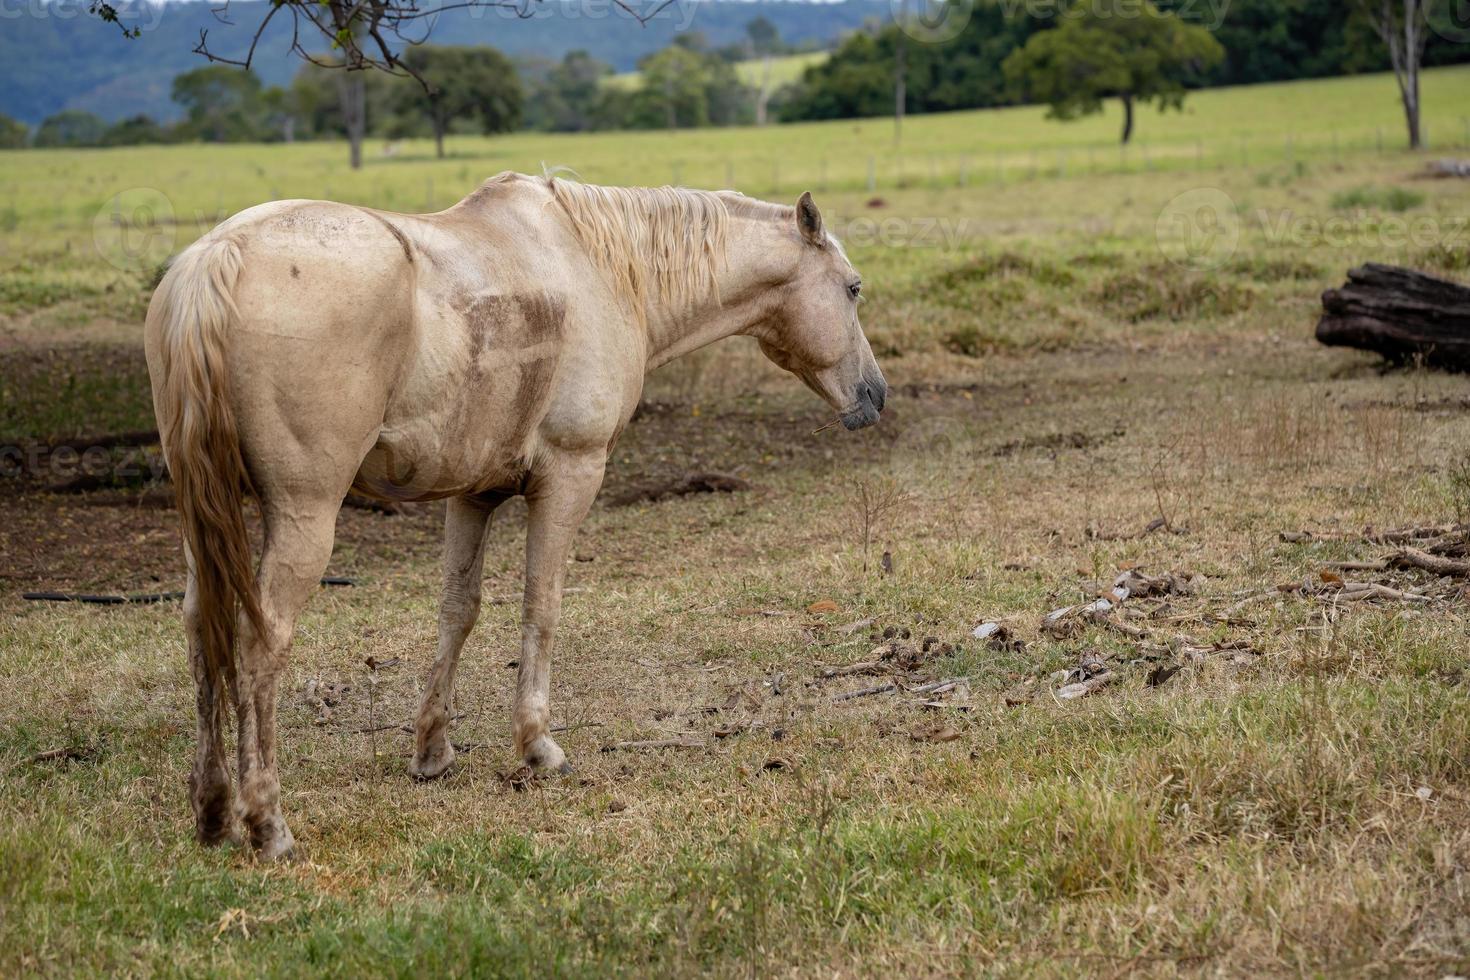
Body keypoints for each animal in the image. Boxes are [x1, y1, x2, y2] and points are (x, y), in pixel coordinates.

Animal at [146, 174, 882, 858]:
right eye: (852, 288)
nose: (874, 395)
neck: (598, 265)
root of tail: (220, 256)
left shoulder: (473, 495)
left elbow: (458, 610)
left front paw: (432, 751)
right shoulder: (571, 475)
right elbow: (541, 603)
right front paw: (536, 744)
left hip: (202, 523)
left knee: (202, 629)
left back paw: (213, 809)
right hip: (304, 515)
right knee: (261, 642)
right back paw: (267, 822)